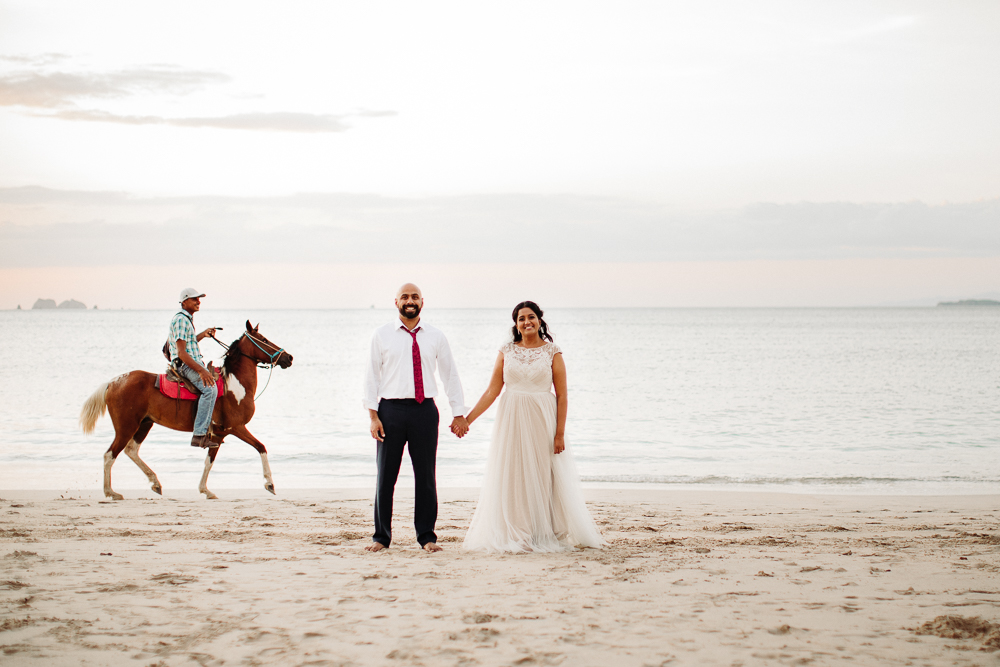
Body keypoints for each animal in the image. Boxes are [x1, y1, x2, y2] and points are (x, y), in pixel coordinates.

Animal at [79, 322, 292, 500]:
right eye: (264, 339)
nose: (288, 357)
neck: (235, 386)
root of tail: (113, 382)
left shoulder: (217, 435)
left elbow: (209, 462)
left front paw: (205, 490)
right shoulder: (236, 427)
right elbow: (261, 447)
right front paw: (269, 483)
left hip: (144, 424)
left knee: (131, 450)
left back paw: (155, 483)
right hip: (126, 427)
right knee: (110, 455)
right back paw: (111, 492)